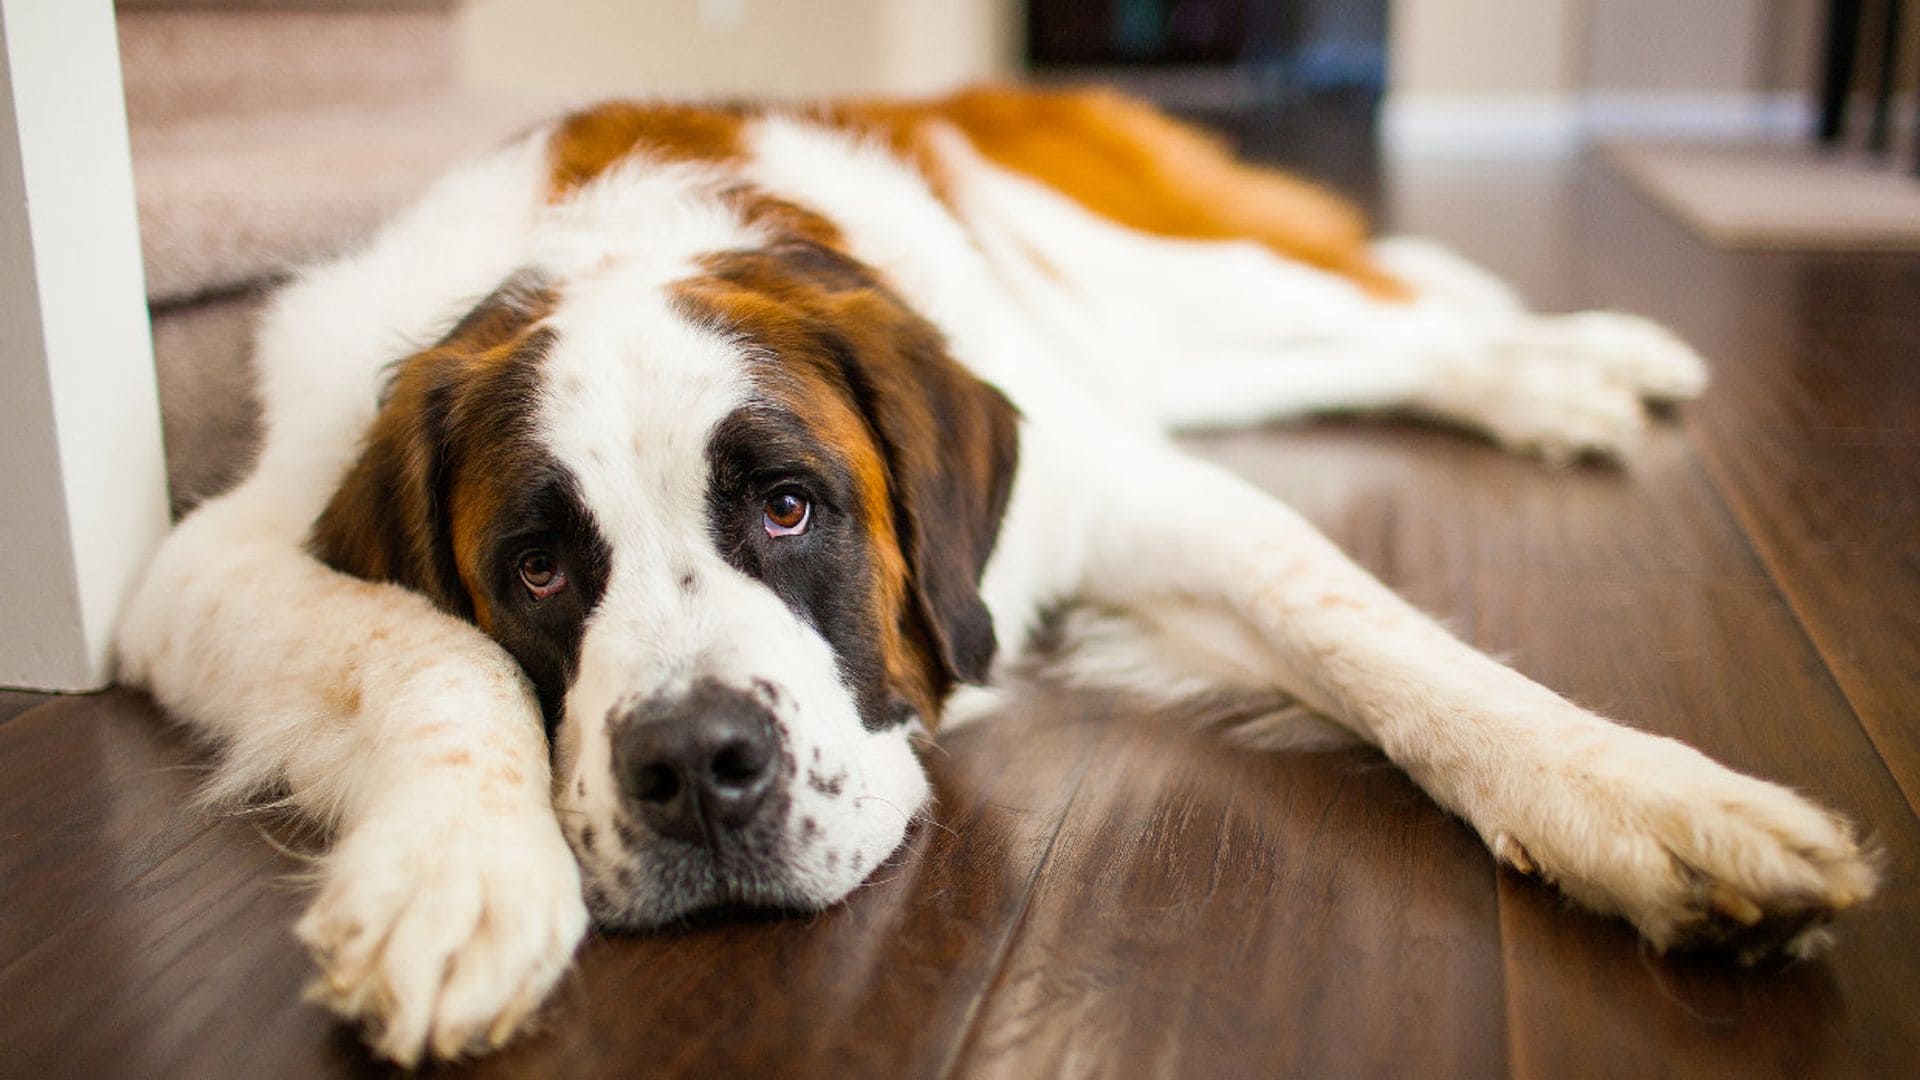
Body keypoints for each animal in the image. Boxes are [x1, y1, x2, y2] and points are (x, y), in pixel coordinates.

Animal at [112, 85, 1881, 1060]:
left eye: (789, 511)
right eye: (541, 571)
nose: (693, 769)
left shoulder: (1120, 492)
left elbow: (1370, 630)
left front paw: (1639, 796)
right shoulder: (206, 564)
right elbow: (430, 652)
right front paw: (457, 874)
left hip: (1169, 285)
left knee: (1396, 303)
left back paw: (1587, 357)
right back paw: (1559, 382)